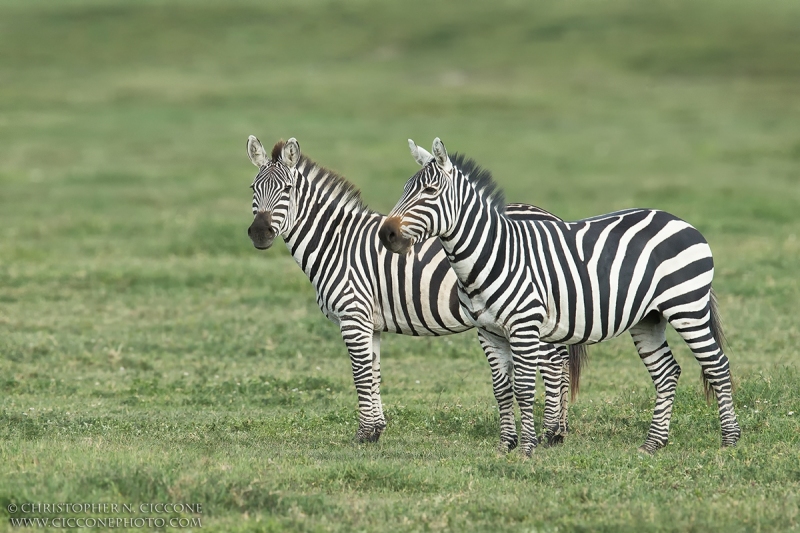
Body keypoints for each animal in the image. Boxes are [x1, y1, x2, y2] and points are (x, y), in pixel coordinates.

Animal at [244, 135, 580, 442]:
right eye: (252, 189)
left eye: (287, 190)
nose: (259, 233)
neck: (337, 243)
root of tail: (551, 216)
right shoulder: (370, 323)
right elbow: (374, 373)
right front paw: (376, 429)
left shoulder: (353, 316)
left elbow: (360, 374)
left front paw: (362, 435)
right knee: (562, 362)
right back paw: (561, 429)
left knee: (553, 365)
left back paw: (552, 433)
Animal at [378, 136, 740, 454]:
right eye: (404, 189)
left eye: (430, 191)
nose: (386, 234)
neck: (494, 254)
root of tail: (679, 220)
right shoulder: (488, 332)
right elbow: (501, 390)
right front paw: (505, 446)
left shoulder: (524, 327)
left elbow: (524, 389)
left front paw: (527, 448)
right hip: (648, 318)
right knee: (666, 373)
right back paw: (653, 444)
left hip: (686, 306)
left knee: (717, 365)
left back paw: (729, 441)